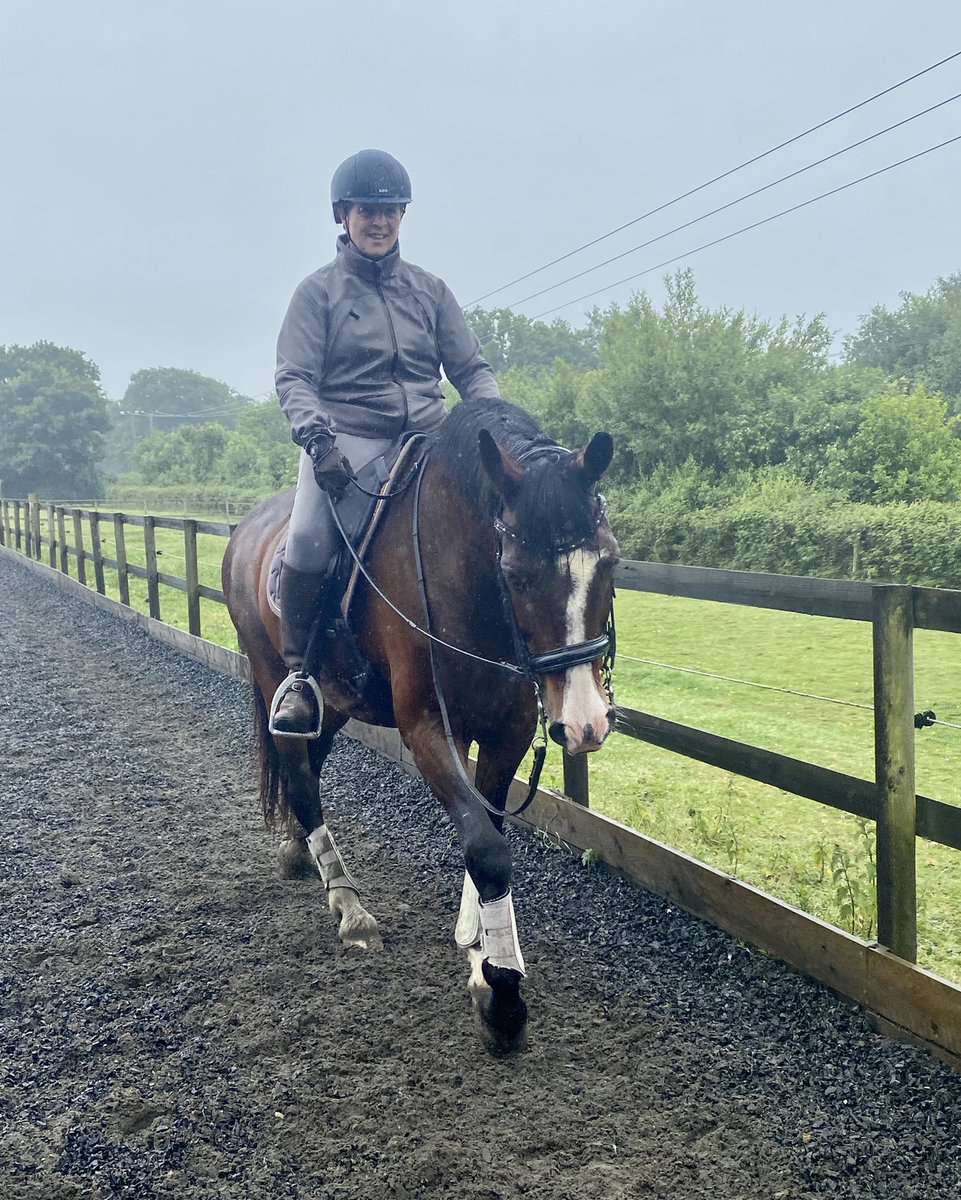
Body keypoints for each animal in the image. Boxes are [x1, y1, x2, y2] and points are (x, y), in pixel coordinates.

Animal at [221, 399, 619, 1054]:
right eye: (516, 572)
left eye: (609, 563)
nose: (585, 723)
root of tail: (246, 526)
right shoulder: (431, 730)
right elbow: (486, 849)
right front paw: (502, 994)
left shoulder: (508, 731)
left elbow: (489, 833)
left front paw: (480, 950)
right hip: (273, 670)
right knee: (299, 775)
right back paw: (349, 907)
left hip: (336, 703)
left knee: (307, 767)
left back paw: (299, 851)